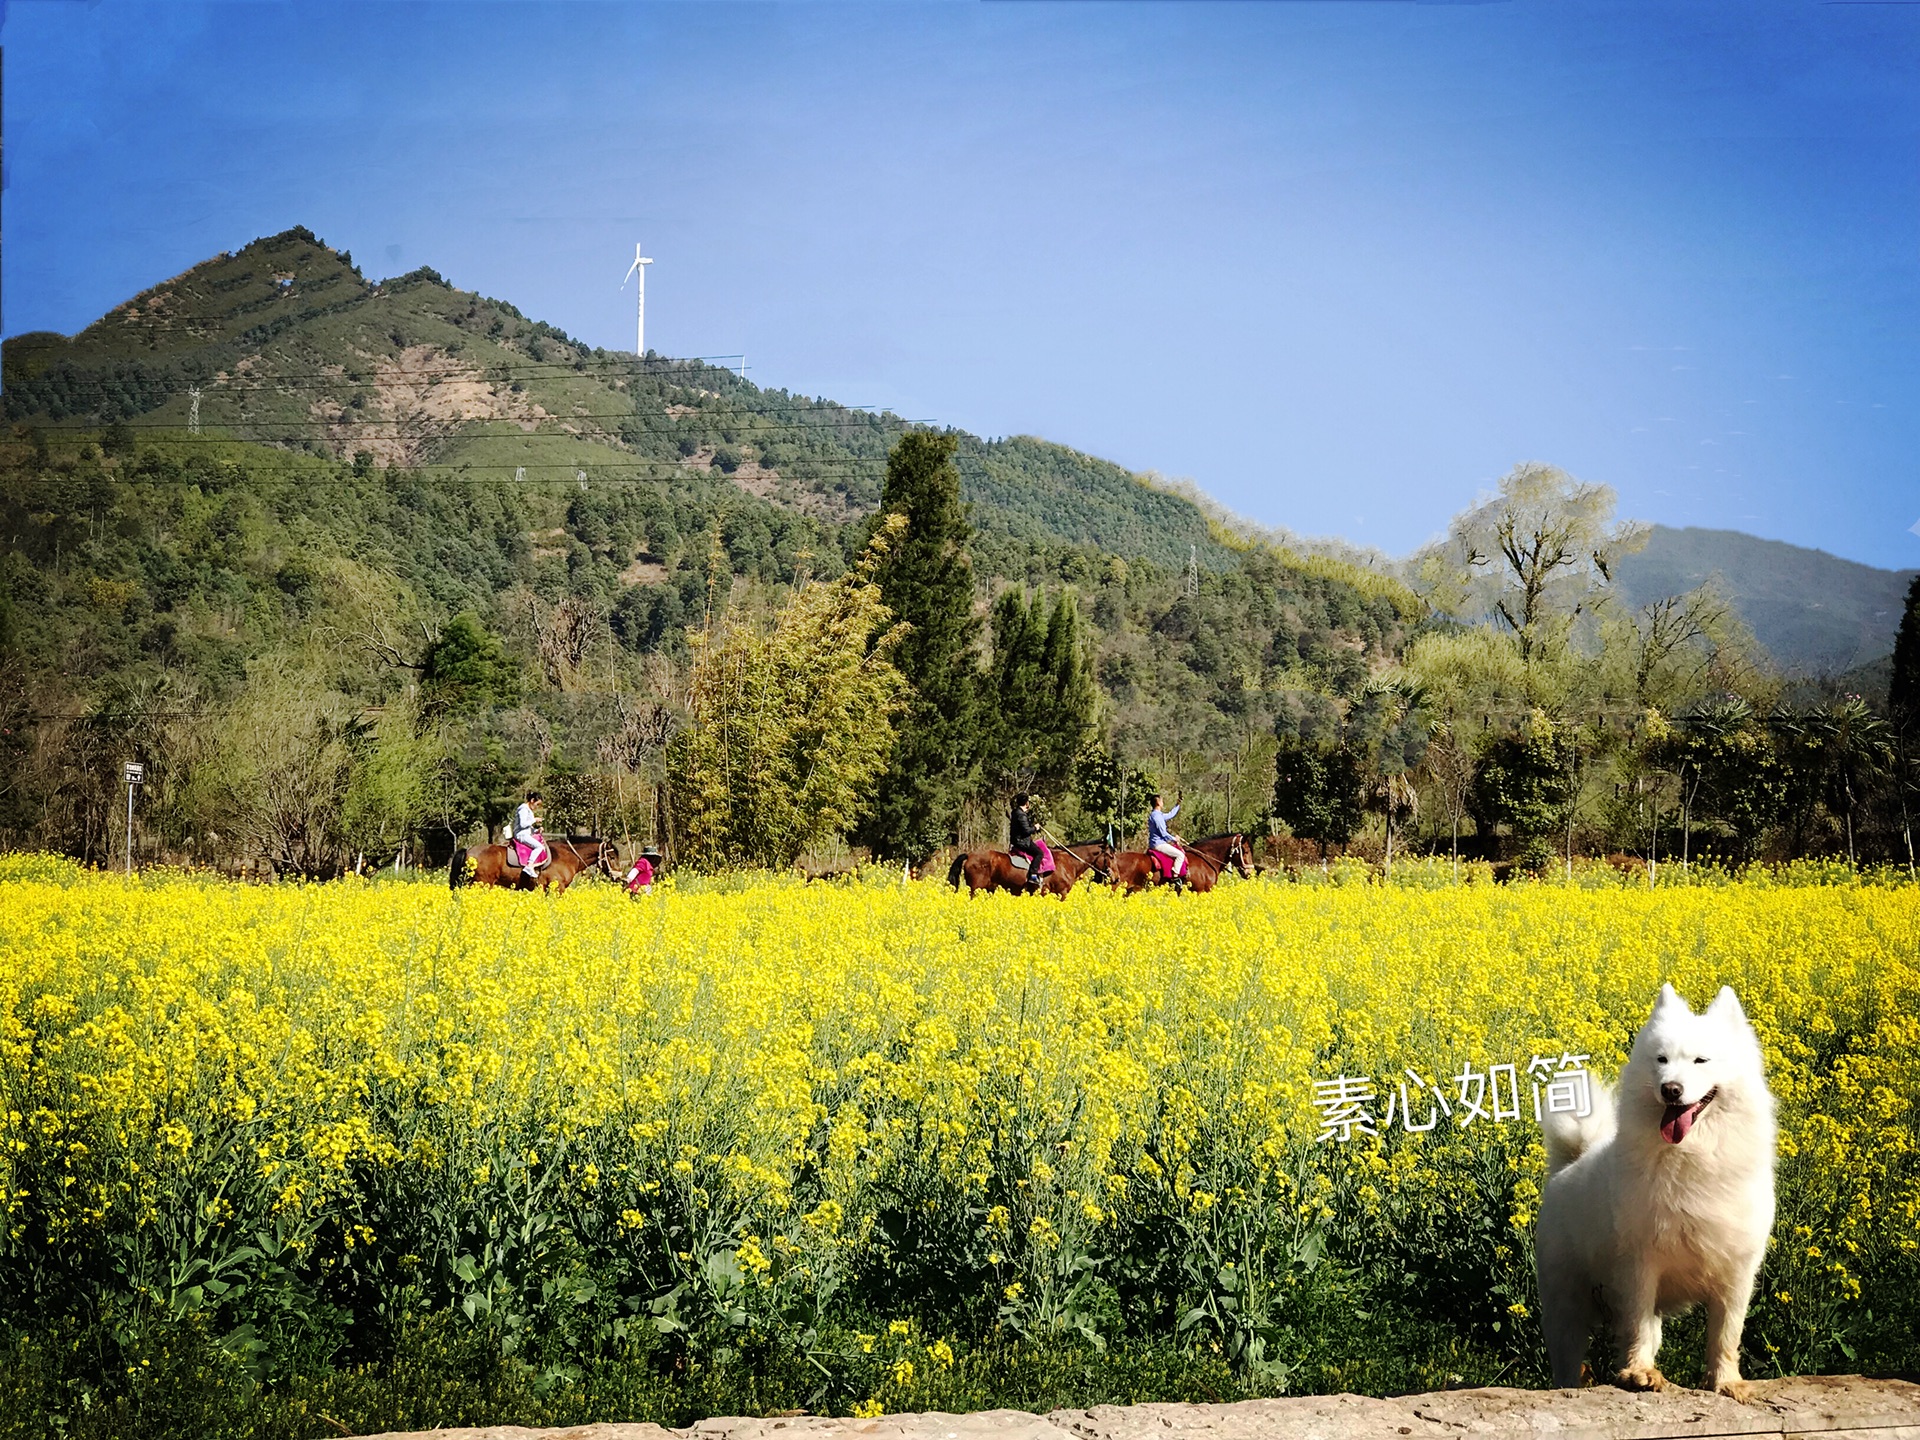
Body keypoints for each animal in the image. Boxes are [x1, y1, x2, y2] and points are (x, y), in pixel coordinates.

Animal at [445, 829, 618, 898]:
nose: (619, 877)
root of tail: (469, 850)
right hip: (482, 884)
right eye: (612, 857)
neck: (567, 856)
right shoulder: (558, 888)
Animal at [952, 840, 1121, 898]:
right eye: (1112, 856)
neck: (1068, 862)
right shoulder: (1061, 893)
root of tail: (969, 855)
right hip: (975, 890)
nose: (1117, 878)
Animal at [1536, 990, 1774, 1405]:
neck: (1692, 1156)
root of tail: (1571, 1161)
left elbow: (1726, 1335)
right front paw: (1639, 1373)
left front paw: (1726, 1382)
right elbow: (1637, 1328)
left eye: (1700, 1061)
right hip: (1567, 1306)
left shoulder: (1736, 1272)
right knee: (1566, 1361)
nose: (1671, 1089)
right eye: (1661, 1060)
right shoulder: (1639, 1265)